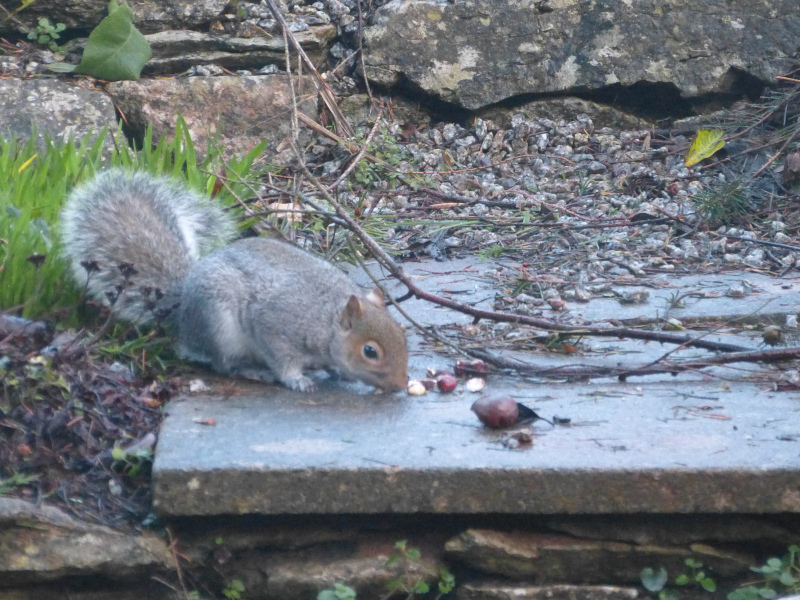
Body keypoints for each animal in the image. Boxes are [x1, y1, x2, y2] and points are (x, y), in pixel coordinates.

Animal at [60, 169, 409, 393]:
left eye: (403, 335)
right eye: (370, 352)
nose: (400, 386)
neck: (326, 319)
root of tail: (182, 309)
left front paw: (337, 373)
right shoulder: (276, 326)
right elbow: (282, 358)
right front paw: (297, 380)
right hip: (219, 327)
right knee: (223, 364)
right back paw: (253, 370)